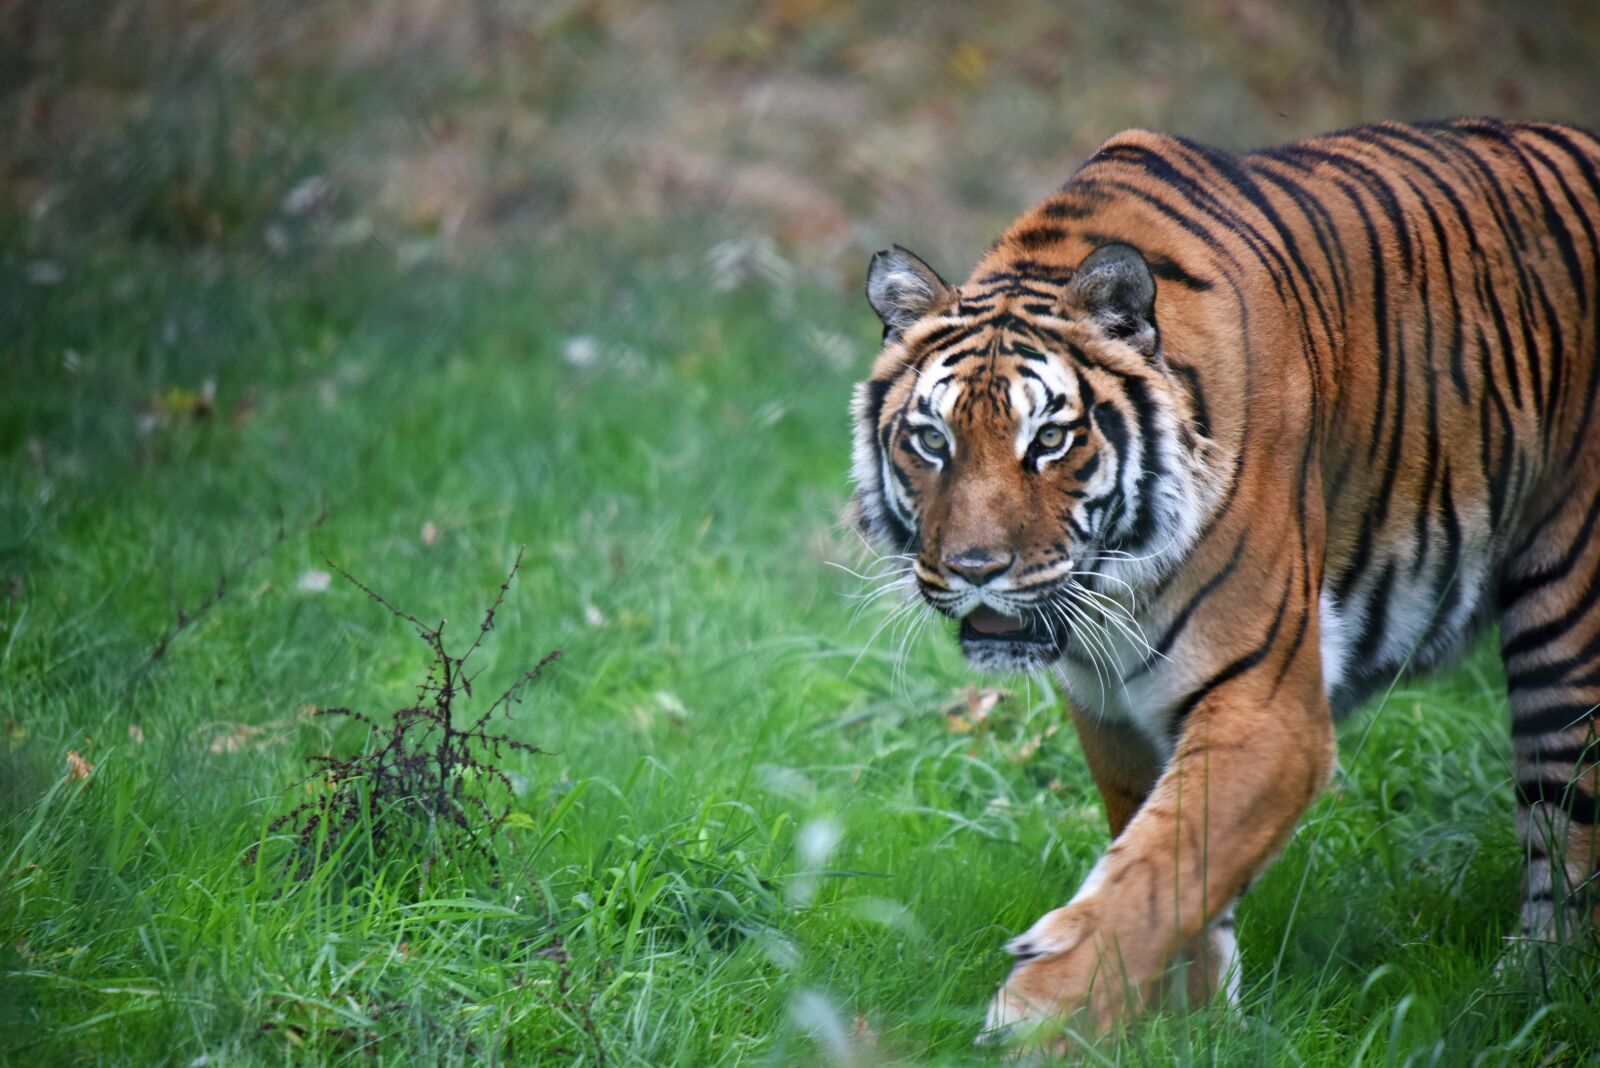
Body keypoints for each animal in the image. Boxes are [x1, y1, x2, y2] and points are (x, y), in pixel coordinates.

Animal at [847, 118, 1600, 1044]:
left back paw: (1530, 996)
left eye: (1049, 440)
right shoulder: (1113, 709)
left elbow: (1158, 868)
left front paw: (1038, 1020)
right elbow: (1164, 856)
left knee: (1564, 833)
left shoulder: (1270, 707)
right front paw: (1189, 1025)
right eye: (932, 440)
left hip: (1567, 620)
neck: (1116, 594)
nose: (975, 569)